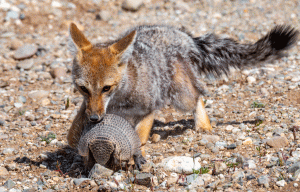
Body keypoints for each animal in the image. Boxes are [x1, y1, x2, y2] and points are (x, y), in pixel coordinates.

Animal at [67, 22, 298, 156]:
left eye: (107, 88)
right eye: (83, 89)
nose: (95, 119)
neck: (119, 100)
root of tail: (183, 35)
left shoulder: (149, 109)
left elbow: (139, 137)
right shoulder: (88, 109)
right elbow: (72, 137)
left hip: (180, 96)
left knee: (197, 96)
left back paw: (203, 125)